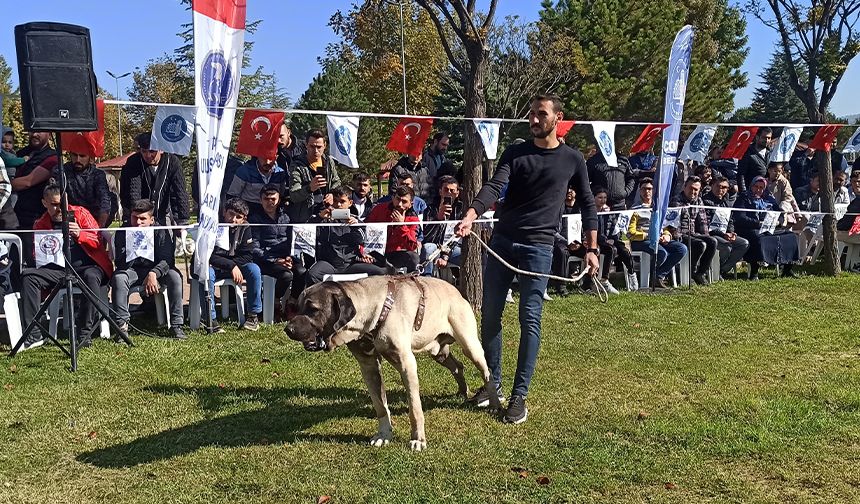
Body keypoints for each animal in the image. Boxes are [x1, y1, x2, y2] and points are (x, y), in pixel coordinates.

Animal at [286, 278, 500, 450]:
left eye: (313, 309)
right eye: (297, 307)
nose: (288, 329)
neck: (372, 312)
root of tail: (455, 289)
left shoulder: (406, 364)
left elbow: (414, 408)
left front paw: (418, 439)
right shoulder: (369, 367)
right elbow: (380, 405)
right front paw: (384, 434)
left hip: (470, 345)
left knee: (487, 372)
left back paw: (495, 403)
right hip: (438, 351)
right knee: (457, 366)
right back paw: (463, 391)